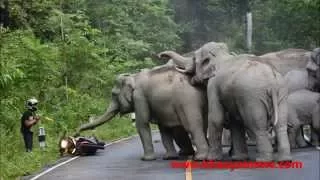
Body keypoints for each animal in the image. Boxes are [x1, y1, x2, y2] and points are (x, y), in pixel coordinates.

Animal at [76, 63, 209, 160]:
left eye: (113, 94)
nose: (76, 133)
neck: (133, 76)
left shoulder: (139, 97)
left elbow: (142, 124)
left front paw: (146, 159)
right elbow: (163, 128)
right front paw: (169, 157)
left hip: (187, 100)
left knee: (193, 126)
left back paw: (200, 157)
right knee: (202, 125)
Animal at [158, 41, 292, 162]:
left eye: (195, 59)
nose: (160, 55)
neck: (221, 56)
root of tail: (271, 81)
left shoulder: (213, 86)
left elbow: (216, 118)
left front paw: (211, 159)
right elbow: (235, 122)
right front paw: (238, 158)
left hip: (252, 98)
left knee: (257, 125)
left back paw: (263, 160)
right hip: (281, 94)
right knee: (281, 125)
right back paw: (284, 159)